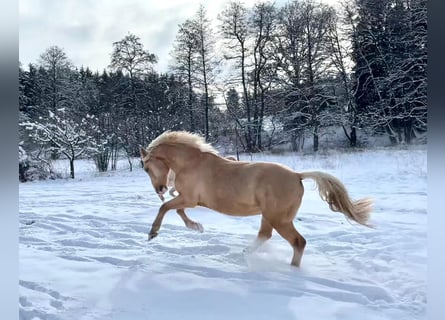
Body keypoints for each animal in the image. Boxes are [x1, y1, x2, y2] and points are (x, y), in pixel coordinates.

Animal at [139, 130, 372, 268]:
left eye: (146, 168)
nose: (160, 188)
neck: (190, 163)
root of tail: (297, 176)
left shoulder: (188, 198)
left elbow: (165, 208)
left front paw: (153, 233)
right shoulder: (188, 200)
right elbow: (176, 210)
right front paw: (197, 227)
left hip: (279, 219)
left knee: (298, 242)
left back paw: (292, 270)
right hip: (269, 216)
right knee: (266, 235)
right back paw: (246, 253)